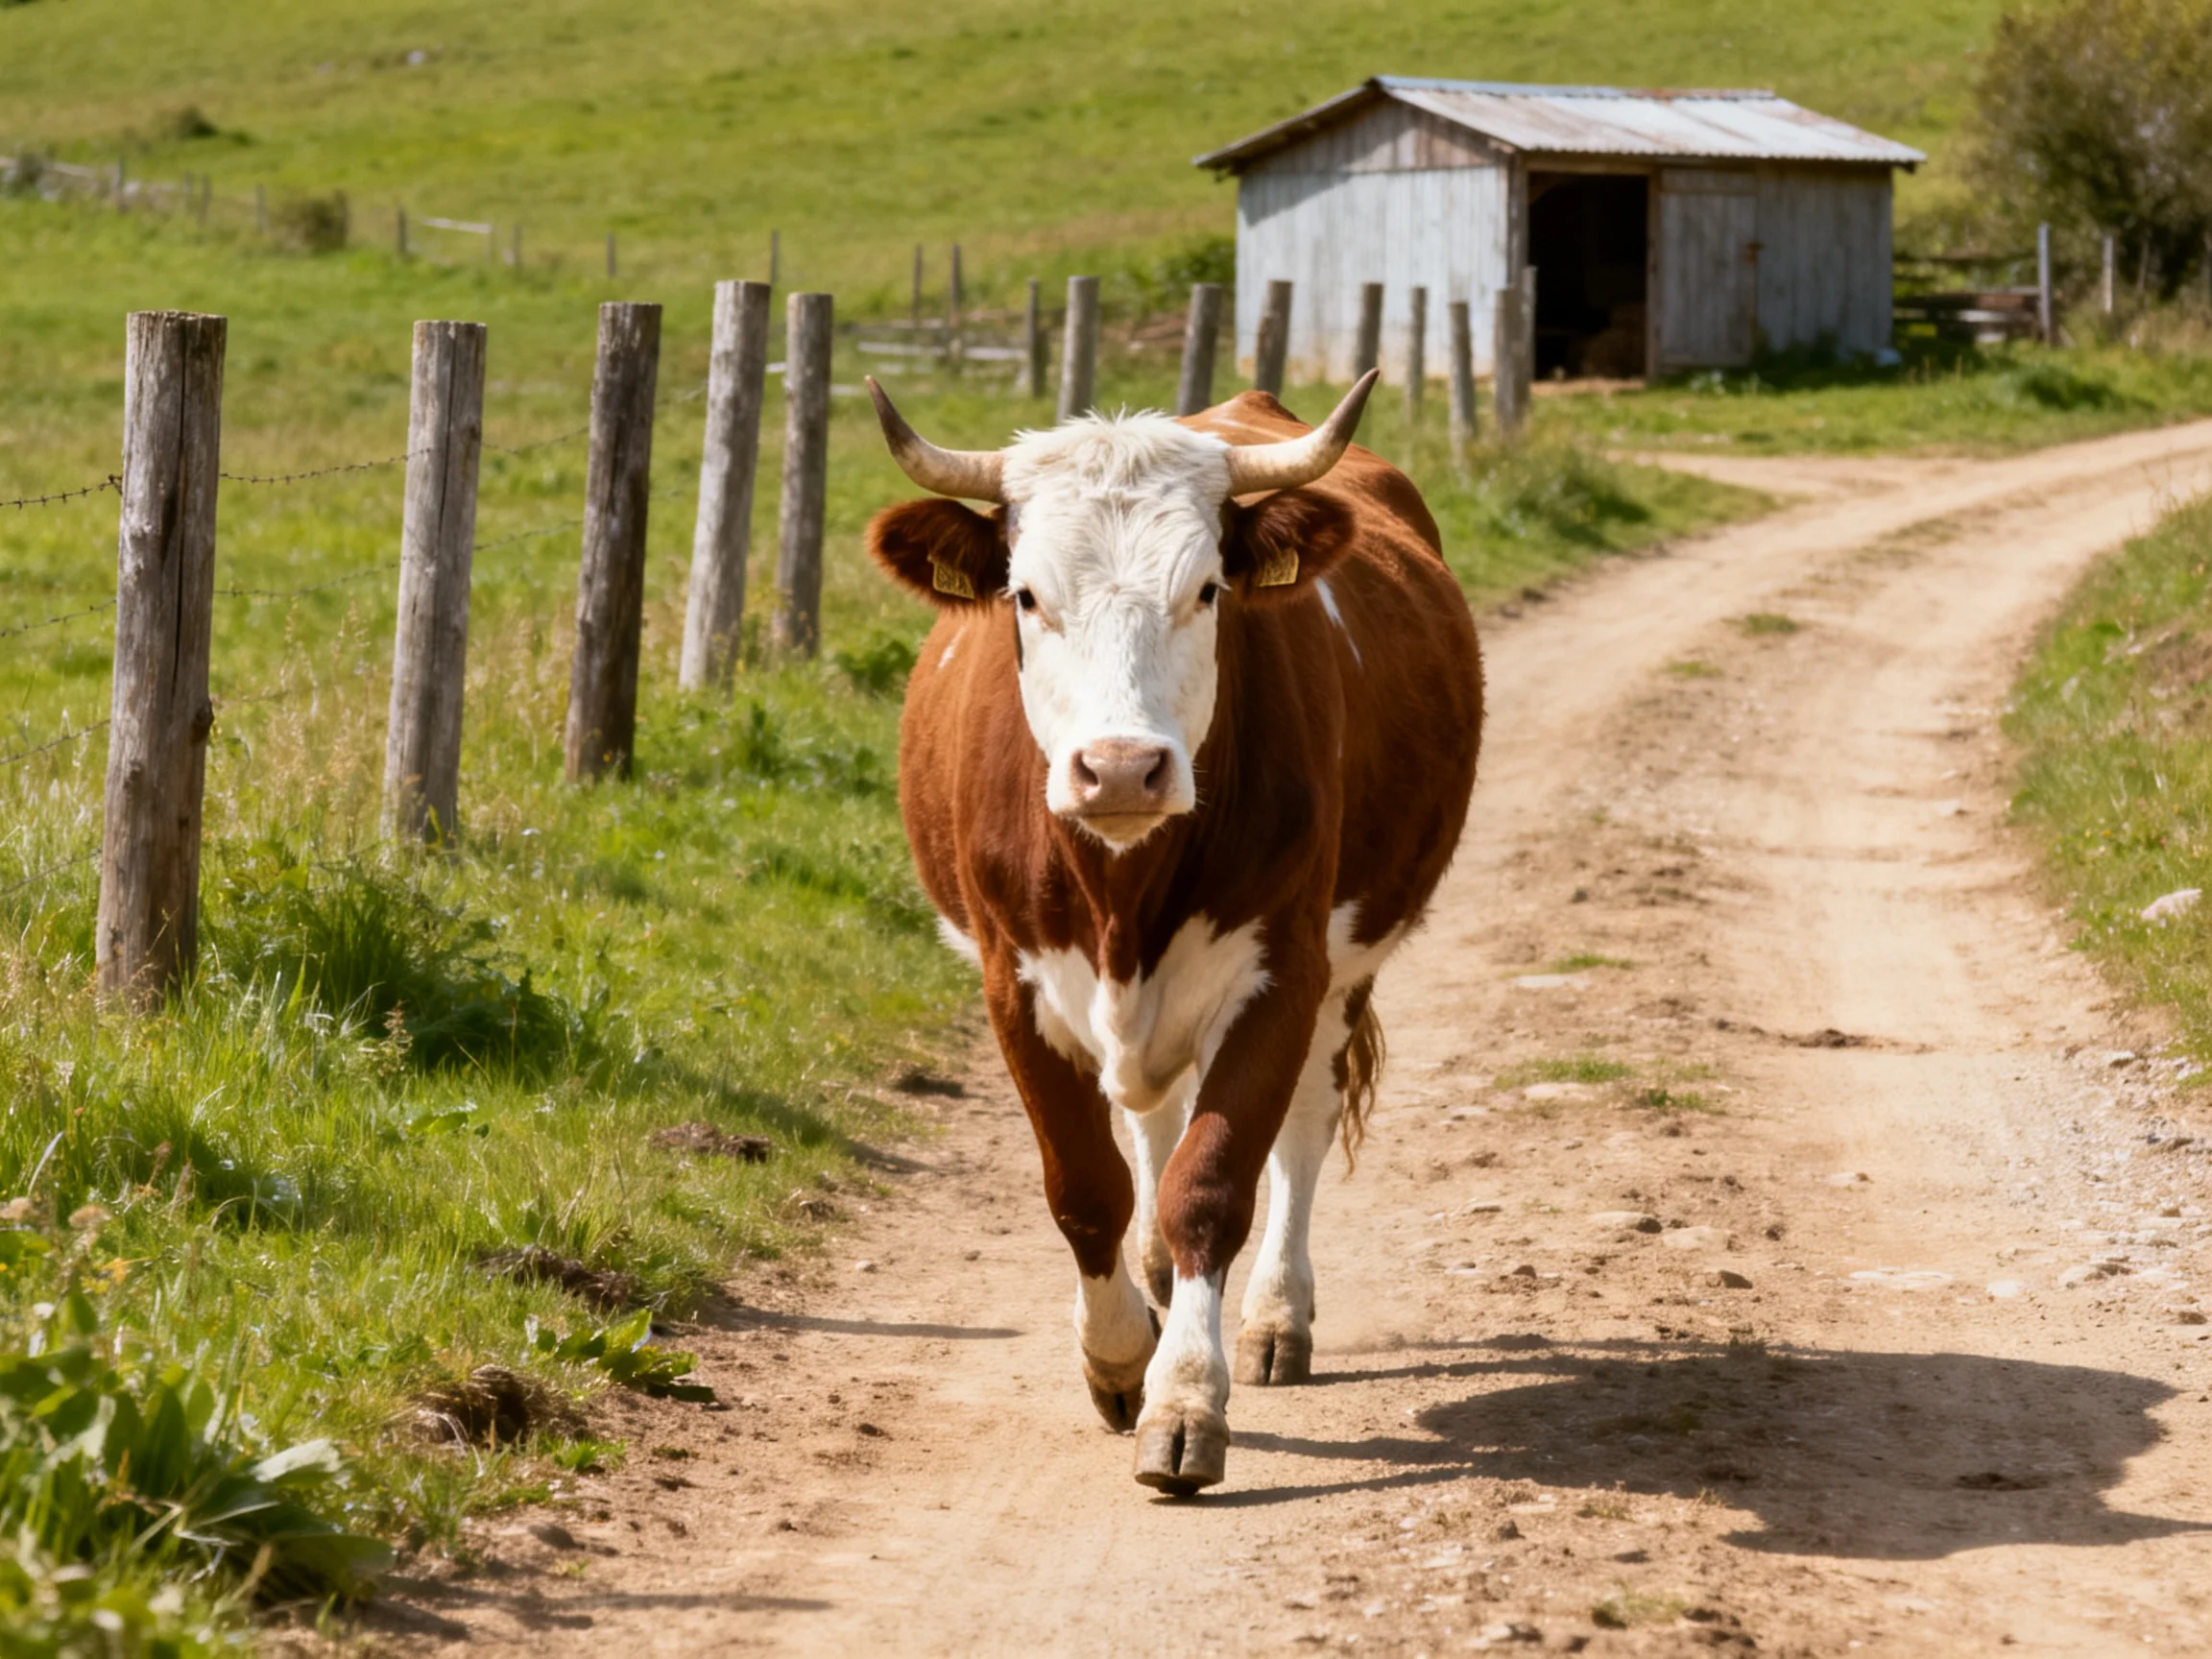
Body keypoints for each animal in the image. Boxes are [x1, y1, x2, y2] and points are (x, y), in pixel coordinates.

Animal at [861, 369, 1483, 1493]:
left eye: (1206, 592)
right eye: (1027, 596)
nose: (1119, 769)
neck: (1124, 890)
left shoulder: (1281, 974)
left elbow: (1215, 1182)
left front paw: (1185, 1399)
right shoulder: (1013, 984)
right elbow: (1086, 1188)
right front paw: (1117, 1359)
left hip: (1343, 972)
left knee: (1303, 1126)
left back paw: (1276, 1315)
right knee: (1149, 1116)